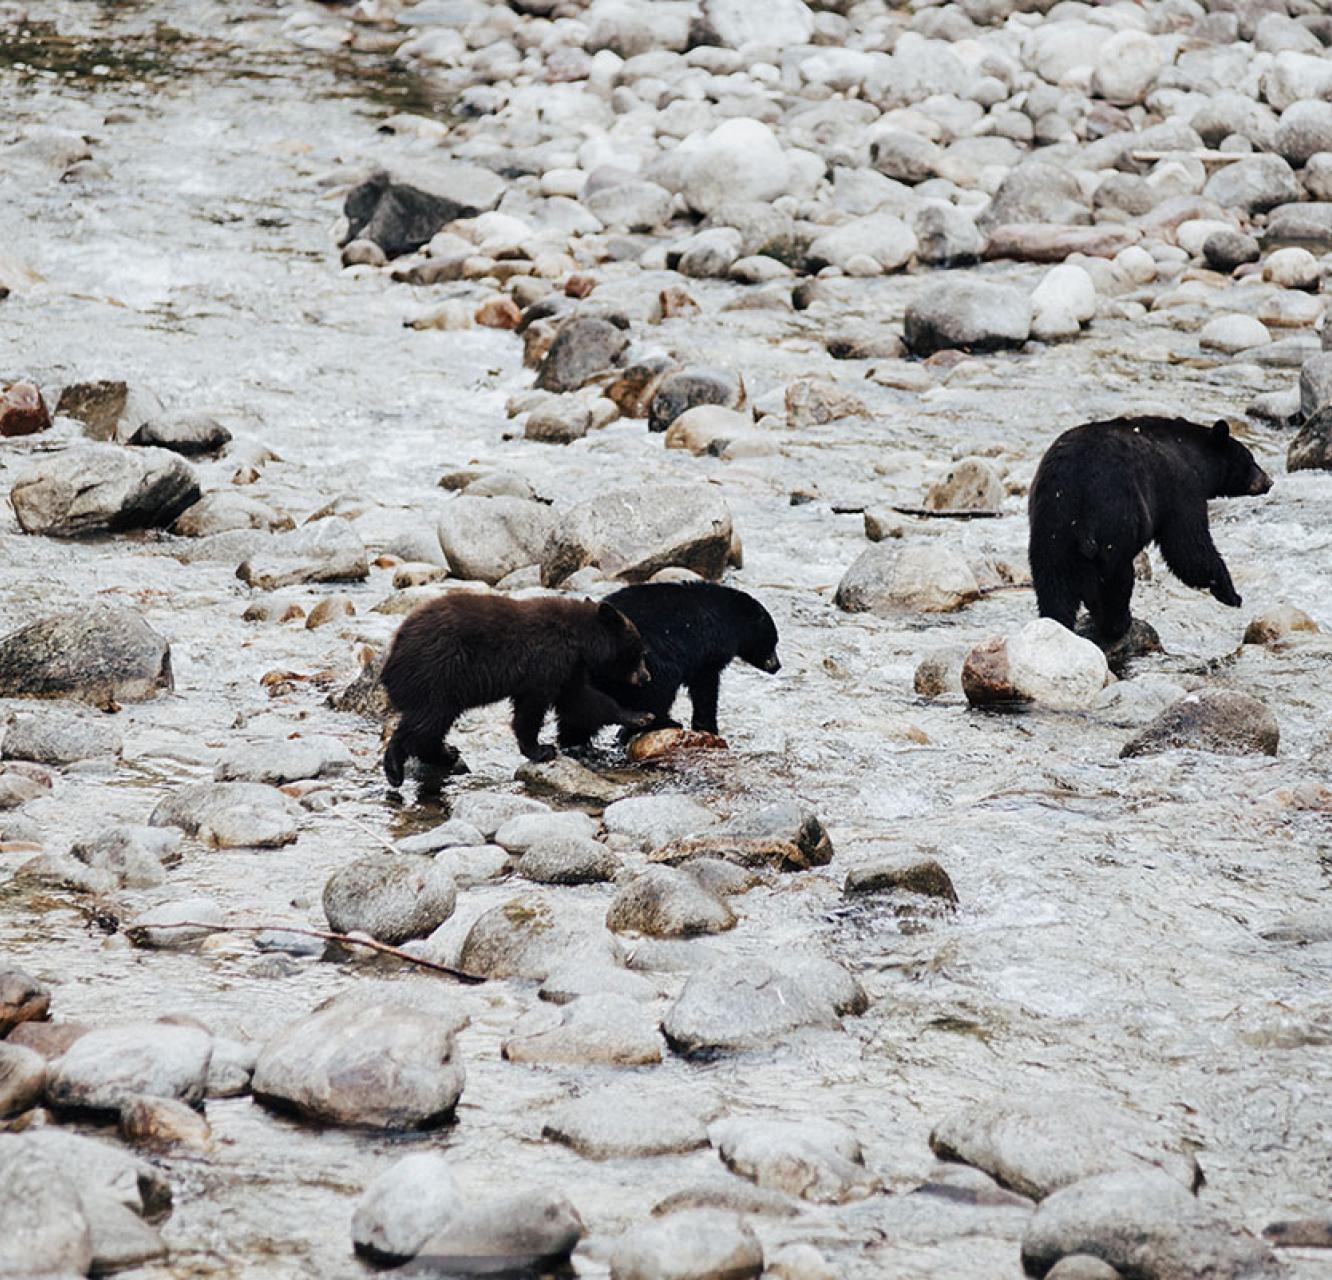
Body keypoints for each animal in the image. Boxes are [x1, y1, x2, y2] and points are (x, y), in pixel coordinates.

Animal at [379, 592, 652, 786]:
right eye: (639, 652)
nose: (646, 677)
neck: (579, 638)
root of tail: (391, 658)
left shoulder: (570, 667)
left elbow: (580, 700)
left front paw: (639, 716)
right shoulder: (548, 660)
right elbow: (532, 708)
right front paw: (541, 750)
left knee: (430, 727)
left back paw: (446, 753)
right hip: (439, 675)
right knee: (425, 723)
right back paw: (396, 768)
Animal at [554, 582, 781, 749]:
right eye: (774, 641)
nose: (777, 666)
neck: (729, 617)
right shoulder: (709, 649)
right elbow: (705, 688)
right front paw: (708, 727)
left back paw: (577, 743)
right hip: (641, 666)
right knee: (658, 691)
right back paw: (665, 722)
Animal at [1028, 416, 1272, 641]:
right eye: (1250, 459)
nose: (1268, 481)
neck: (1193, 456)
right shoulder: (1180, 488)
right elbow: (1188, 549)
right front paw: (1231, 594)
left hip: (1051, 535)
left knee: (1054, 588)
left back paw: (1059, 622)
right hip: (1113, 525)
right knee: (1116, 582)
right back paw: (1118, 623)